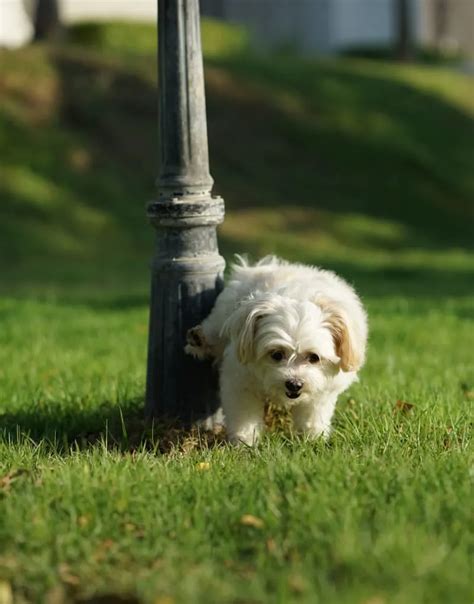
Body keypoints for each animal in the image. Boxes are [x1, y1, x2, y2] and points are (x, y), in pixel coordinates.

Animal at [184, 255, 366, 444]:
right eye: (276, 354)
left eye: (314, 357)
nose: (294, 384)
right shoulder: (240, 381)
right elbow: (244, 414)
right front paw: (244, 441)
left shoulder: (322, 390)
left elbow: (313, 414)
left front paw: (313, 438)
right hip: (224, 311)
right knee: (216, 328)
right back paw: (199, 339)